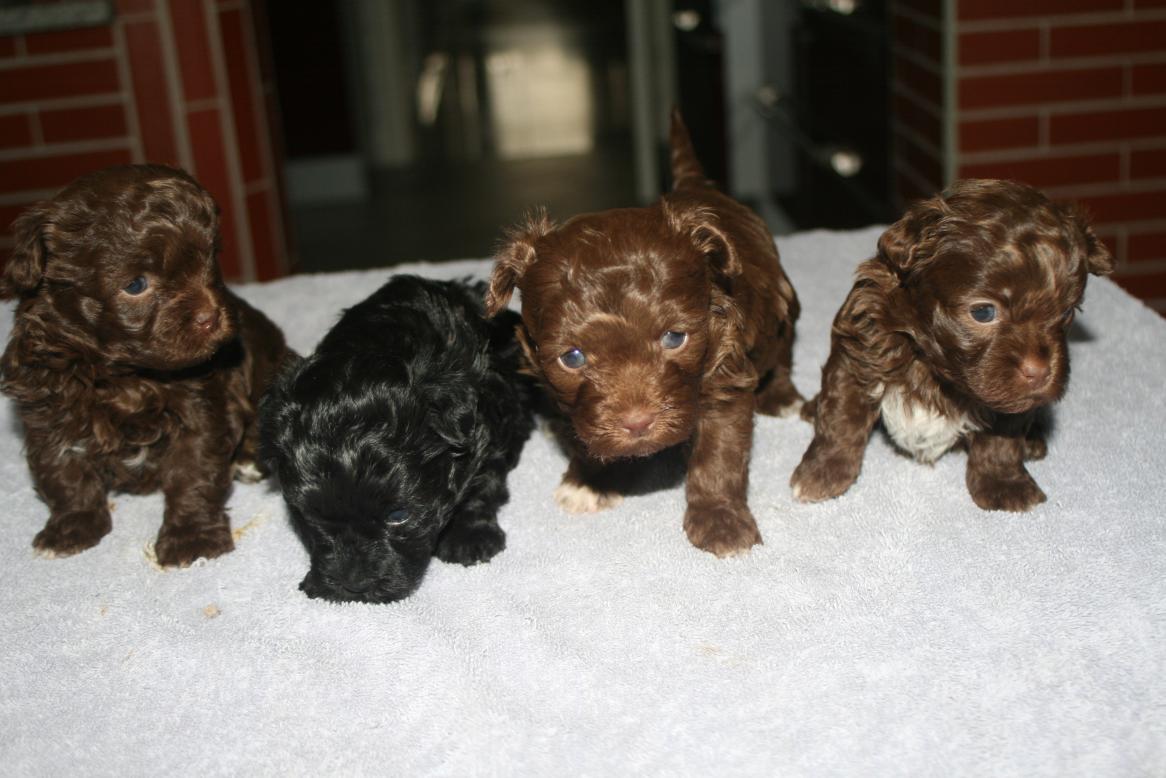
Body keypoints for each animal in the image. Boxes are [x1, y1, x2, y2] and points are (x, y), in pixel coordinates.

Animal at [1, 164, 292, 566]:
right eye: (136, 284)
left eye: (210, 259)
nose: (211, 318)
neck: (118, 373)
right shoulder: (46, 404)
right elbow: (62, 470)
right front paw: (71, 527)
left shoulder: (201, 407)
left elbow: (193, 473)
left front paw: (191, 538)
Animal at [259, 276, 536, 603]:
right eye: (310, 516)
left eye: (399, 515)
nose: (355, 585)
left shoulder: (486, 423)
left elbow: (482, 481)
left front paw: (470, 537)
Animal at [484, 109, 801, 557]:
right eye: (573, 357)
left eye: (674, 338)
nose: (638, 423)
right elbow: (584, 432)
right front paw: (588, 481)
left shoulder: (726, 375)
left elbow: (718, 454)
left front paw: (721, 521)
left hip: (782, 305)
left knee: (783, 350)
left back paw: (783, 396)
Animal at [790, 178, 1113, 511]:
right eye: (983, 312)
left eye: (1067, 311)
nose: (1039, 372)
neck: (934, 366)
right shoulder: (861, 346)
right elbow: (841, 416)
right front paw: (822, 474)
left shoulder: (1008, 403)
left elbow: (1001, 438)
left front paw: (1004, 484)